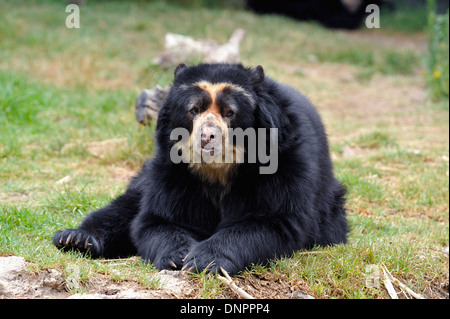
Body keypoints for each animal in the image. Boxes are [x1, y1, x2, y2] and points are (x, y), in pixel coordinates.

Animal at [52, 63, 348, 276]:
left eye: (230, 112)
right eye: (193, 109)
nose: (207, 137)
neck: (219, 168)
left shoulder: (282, 165)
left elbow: (271, 220)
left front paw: (204, 259)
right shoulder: (174, 170)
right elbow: (159, 219)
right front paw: (177, 257)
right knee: (125, 205)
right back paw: (75, 238)